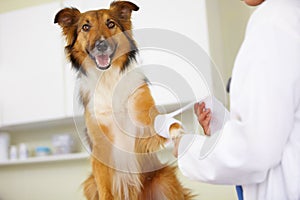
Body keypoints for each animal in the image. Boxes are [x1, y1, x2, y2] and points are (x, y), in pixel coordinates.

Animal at [54, 0, 192, 199]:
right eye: (85, 27)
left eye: (110, 23)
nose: (101, 45)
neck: (108, 79)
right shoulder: (100, 147)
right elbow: (106, 190)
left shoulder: (142, 119)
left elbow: (162, 122)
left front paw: (177, 130)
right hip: (90, 184)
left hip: (164, 179)